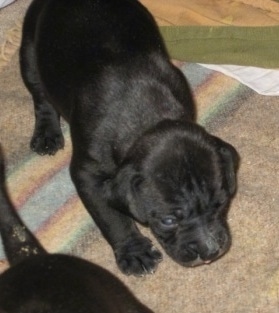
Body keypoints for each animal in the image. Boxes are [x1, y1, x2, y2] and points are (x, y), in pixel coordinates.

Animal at [19, 0, 240, 274]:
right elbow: (111, 217)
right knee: (41, 96)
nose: (209, 251)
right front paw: (134, 251)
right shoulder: (88, 174)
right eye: (168, 220)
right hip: (29, 52)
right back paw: (47, 133)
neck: (148, 119)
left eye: (221, 203)